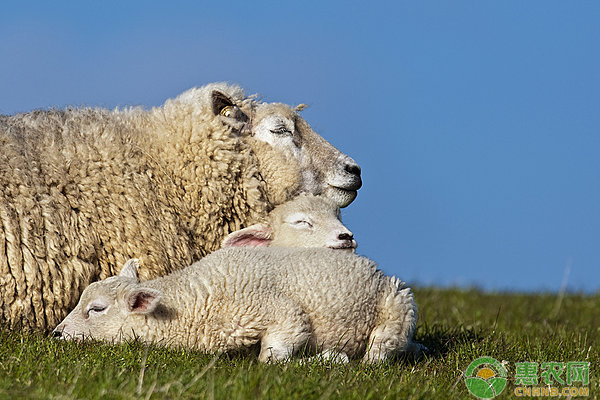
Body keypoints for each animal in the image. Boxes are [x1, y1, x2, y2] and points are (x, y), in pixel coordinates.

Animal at [52, 247, 422, 362]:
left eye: (97, 309)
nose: (56, 334)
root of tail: (373, 268)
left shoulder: (277, 310)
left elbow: (273, 357)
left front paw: (327, 360)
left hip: (397, 300)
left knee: (383, 345)